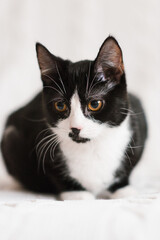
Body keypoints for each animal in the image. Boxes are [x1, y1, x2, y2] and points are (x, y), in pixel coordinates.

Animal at [0, 36, 148, 200]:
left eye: (94, 104)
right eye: (60, 105)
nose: (75, 128)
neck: (90, 147)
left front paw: (122, 189)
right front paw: (76, 193)